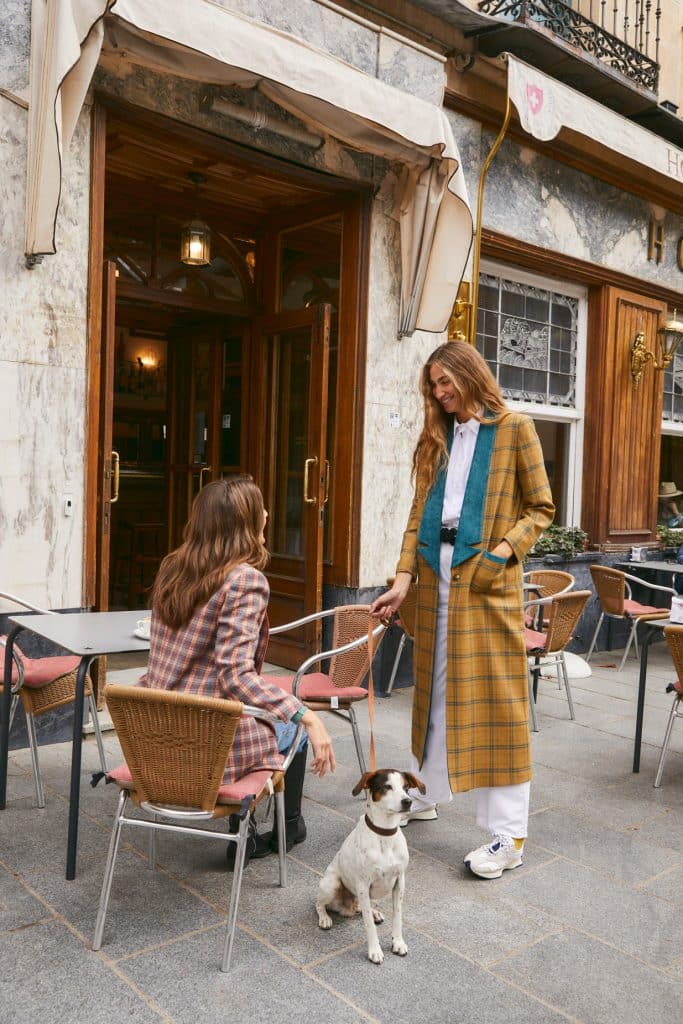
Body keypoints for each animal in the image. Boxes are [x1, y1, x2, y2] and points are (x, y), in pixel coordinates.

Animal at [317, 770, 423, 962]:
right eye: (387, 786)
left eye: (406, 788)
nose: (407, 801)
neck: (385, 834)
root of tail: (347, 908)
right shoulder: (363, 886)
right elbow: (368, 925)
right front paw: (375, 951)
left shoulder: (399, 883)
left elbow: (398, 917)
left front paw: (398, 943)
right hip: (331, 885)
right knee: (319, 904)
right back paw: (325, 919)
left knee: (361, 907)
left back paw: (374, 912)